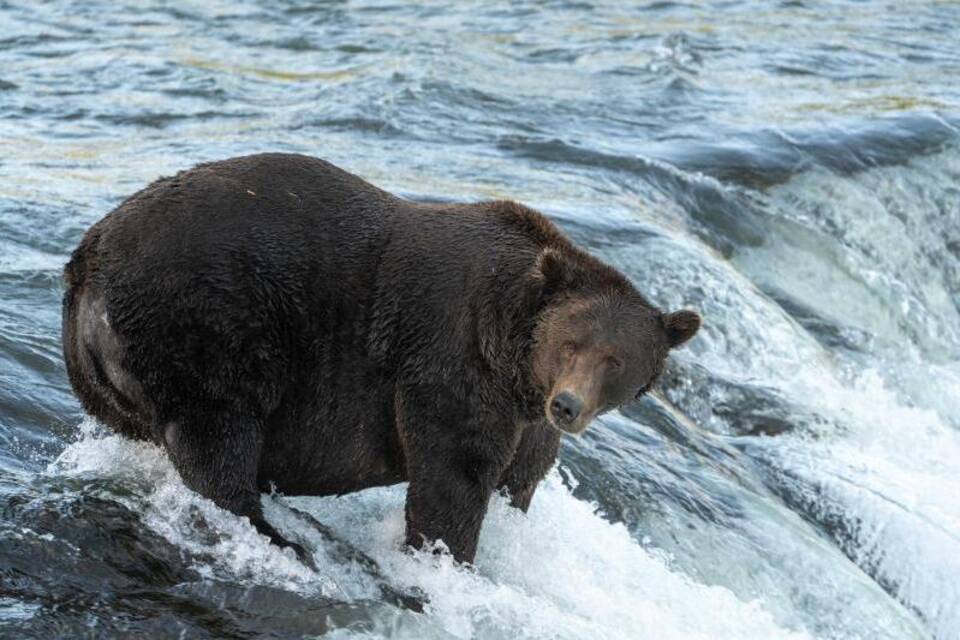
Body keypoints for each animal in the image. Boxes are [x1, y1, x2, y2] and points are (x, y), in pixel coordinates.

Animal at [63, 154, 700, 564]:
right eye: (572, 342)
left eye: (617, 362)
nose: (568, 405)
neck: (515, 356)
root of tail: (88, 261)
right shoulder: (450, 358)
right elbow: (453, 474)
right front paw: (445, 558)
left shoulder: (524, 412)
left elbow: (521, 476)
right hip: (204, 322)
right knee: (216, 433)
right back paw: (275, 534)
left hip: (109, 371)